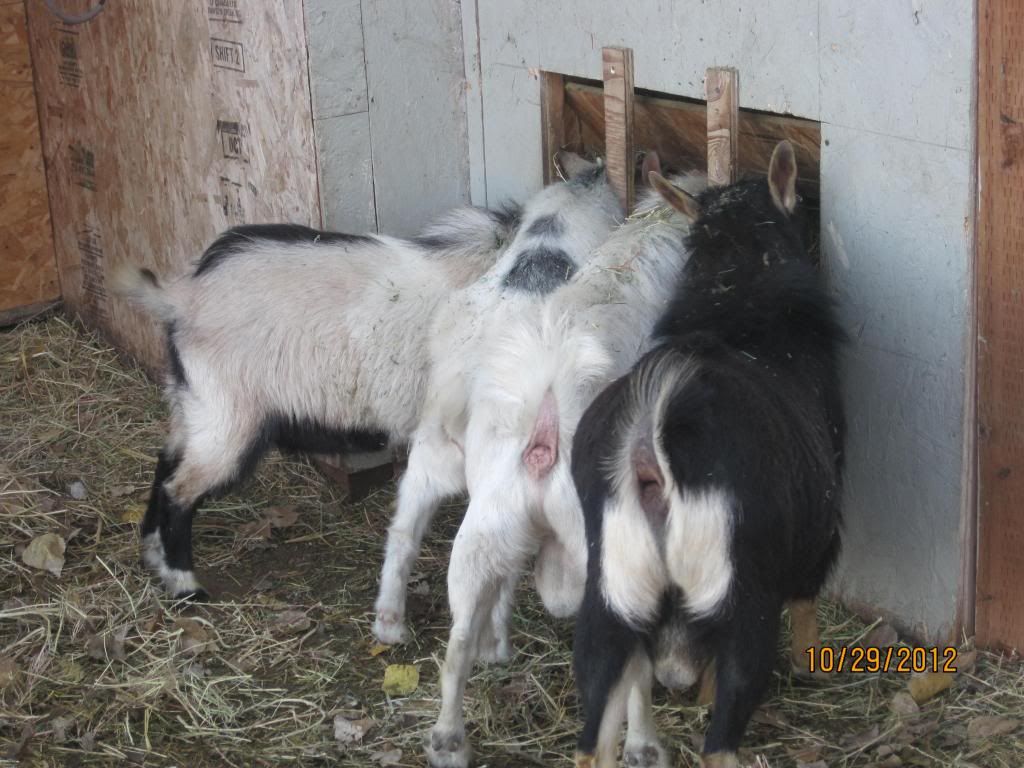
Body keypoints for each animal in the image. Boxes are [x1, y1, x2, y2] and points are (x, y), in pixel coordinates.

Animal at [110, 155, 611, 600]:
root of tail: (180, 297)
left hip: (194, 401)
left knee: (165, 463)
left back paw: (153, 558)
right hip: (229, 418)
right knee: (180, 490)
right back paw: (185, 586)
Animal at [570, 142, 845, 768]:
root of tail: (653, 441)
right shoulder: (820, 521)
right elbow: (808, 594)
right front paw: (810, 665)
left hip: (610, 600)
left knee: (592, 734)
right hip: (740, 599)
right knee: (722, 737)